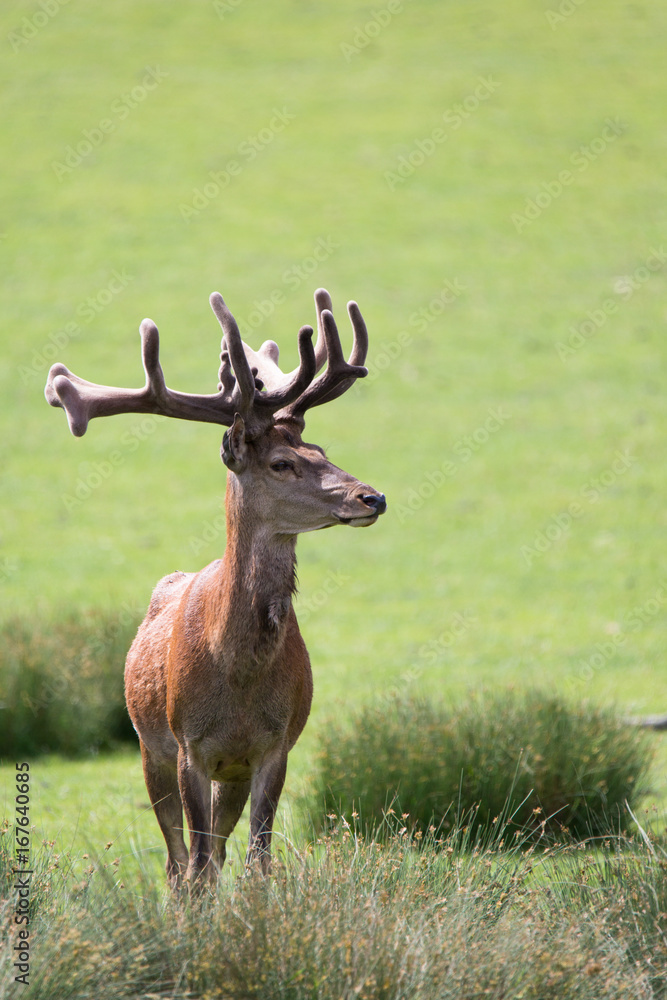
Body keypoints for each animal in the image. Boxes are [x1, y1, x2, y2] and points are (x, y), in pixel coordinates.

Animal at [45, 287, 386, 888]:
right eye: (282, 463)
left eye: (322, 451)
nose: (372, 497)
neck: (239, 673)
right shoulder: (189, 747)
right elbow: (198, 867)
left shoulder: (274, 747)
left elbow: (257, 863)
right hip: (149, 749)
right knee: (178, 864)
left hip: (232, 773)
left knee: (218, 855)